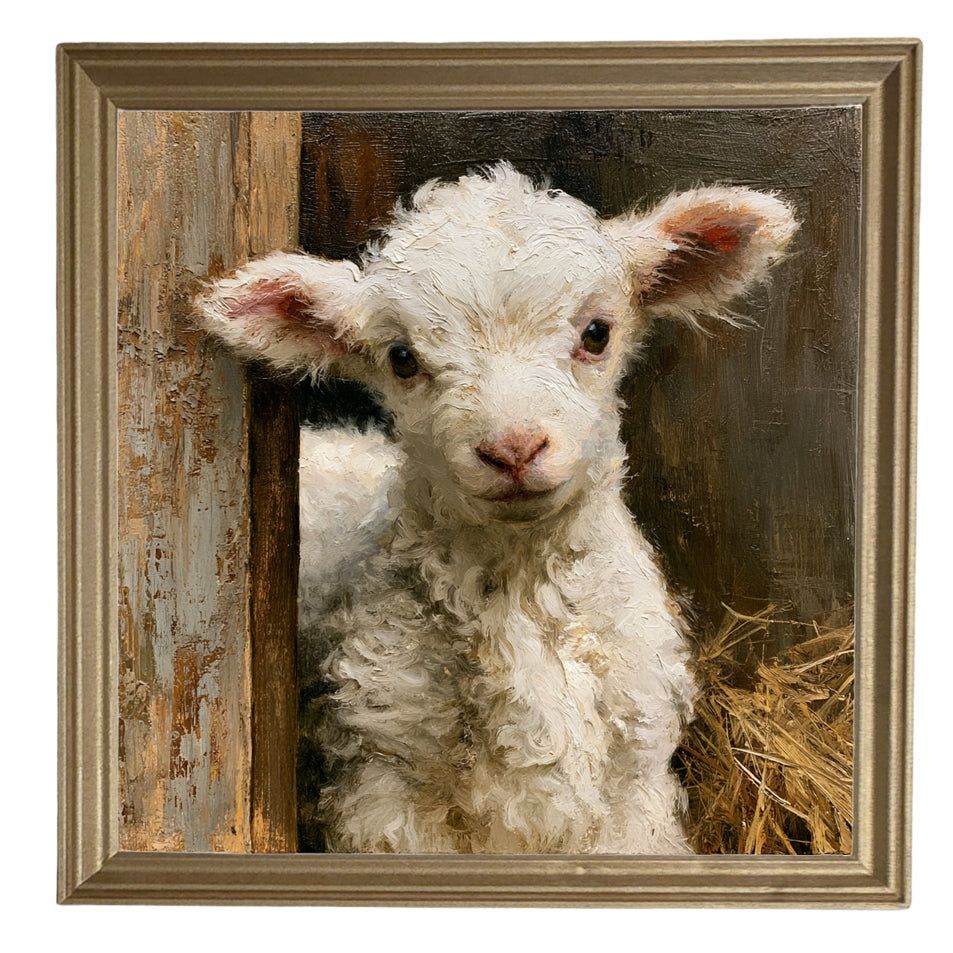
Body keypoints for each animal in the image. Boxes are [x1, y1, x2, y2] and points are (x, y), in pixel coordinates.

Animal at [198, 162, 796, 854]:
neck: (521, 591)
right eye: (402, 358)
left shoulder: (635, 790)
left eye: (597, 333)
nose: (513, 449)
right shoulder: (385, 788)